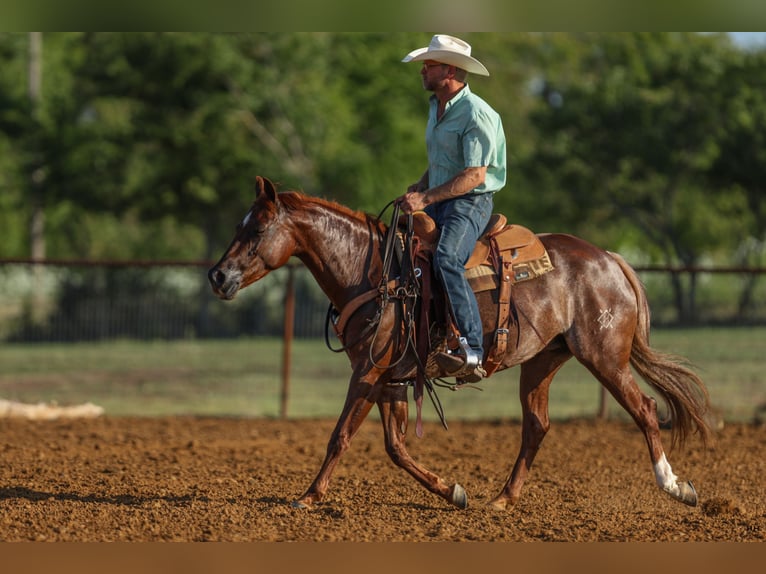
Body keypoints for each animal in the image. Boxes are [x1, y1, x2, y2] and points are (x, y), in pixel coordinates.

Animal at [207, 177, 712, 512]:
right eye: (238, 225)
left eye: (257, 230)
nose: (217, 276)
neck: (374, 272)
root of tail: (609, 259)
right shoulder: (391, 376)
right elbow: (395, 446)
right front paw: (452, 490)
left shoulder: (368, 371)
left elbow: (341, 436)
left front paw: (307, 497)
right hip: (542, 361)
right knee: (537, 426)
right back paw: (502, 499)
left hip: (604, 356)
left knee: (645, 409)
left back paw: (674, 485)